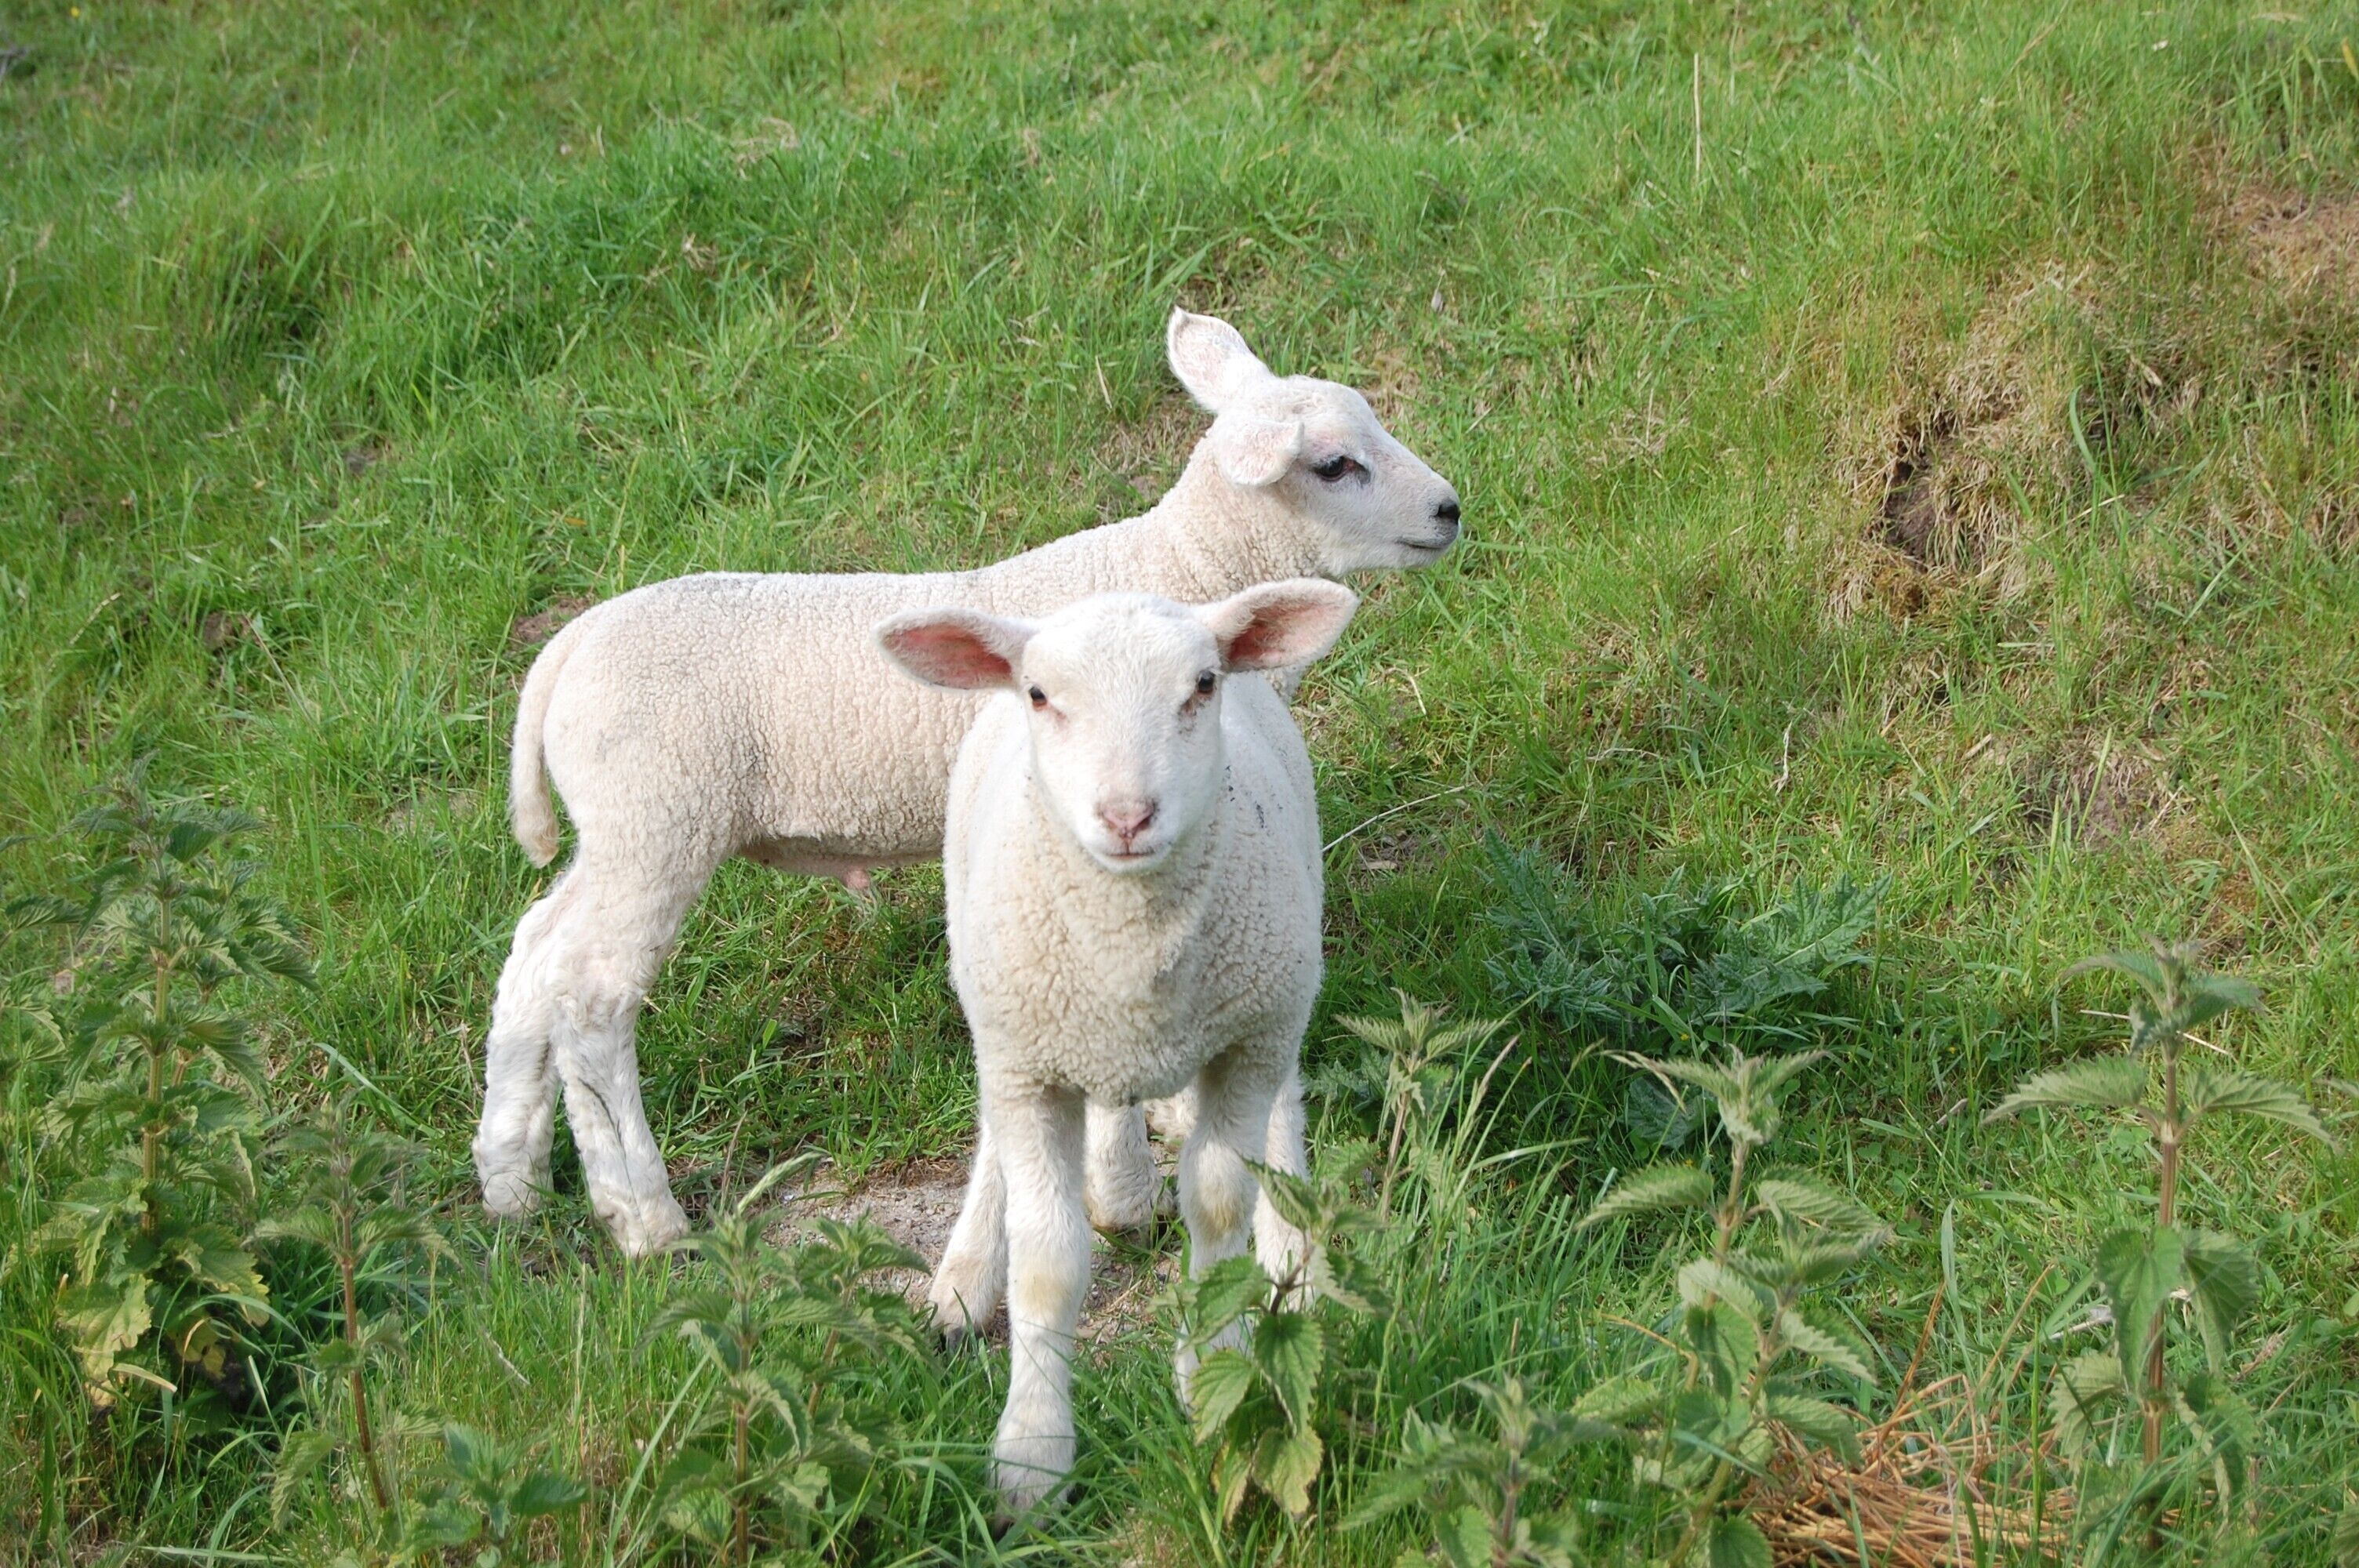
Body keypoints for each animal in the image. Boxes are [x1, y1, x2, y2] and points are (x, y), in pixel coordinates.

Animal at [474, 310, 1460, 1257]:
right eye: (1334, 464)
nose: (1449, 510)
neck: (1183, 564)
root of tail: (570, 646)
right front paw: (1154, 1138)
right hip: (660, 813)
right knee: (591, 999)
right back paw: (642, 1216)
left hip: (619, 828)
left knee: (535, 954)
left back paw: (511, 1181)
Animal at [875, 578, 1358, 1519]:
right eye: (1039, 694)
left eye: (1202, 684)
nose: (1127, 816)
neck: (1132, 956)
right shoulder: (1026, 1062)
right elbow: (1047, 1261)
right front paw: (1031, 1456)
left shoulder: (1245, 1044)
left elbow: (1219, 1204)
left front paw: (1210, 1366)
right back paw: (976, 1269)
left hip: (1281, 979)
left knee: (1280, 1110)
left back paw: (1286, 1245)